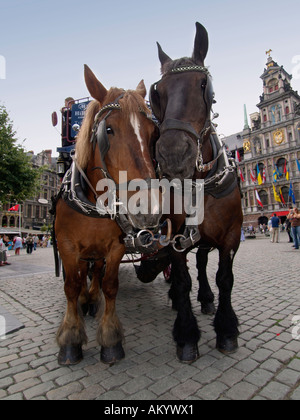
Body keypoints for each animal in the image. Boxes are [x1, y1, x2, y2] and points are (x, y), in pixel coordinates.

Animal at [54, 65, 161, 364]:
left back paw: (92, 298)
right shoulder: (67, 247)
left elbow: (110, 284)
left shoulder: (115, 246)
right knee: (82, 275)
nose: (147, 207)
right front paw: (71, 338)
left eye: (153, 134)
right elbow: (71, 286)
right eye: (108, 130)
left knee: (97, 272)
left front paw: (111, 339)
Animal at [138, 22, 244, 360]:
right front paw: (186, 335)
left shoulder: (231, 235)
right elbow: (182, 278)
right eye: (157, 93)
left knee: (202, 262)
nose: (173, 156)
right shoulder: (176, 234)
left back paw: (208, 299)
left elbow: (225, 278)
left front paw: (226, 329)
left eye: (203, 85)